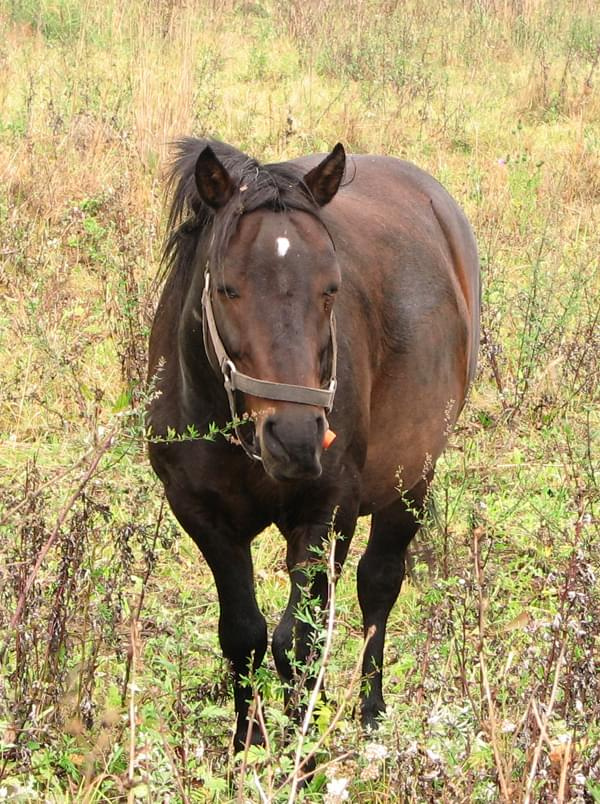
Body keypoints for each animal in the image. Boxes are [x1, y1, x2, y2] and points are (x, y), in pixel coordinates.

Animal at [148, 137, 480, 748]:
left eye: (331, 288)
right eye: (227, 288)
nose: (298, 440)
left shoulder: (330, 510)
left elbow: (299, 640)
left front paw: (302, 748)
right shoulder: (202, 515)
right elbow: (244, 634)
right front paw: (247, 747)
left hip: (412, 479)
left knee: (379, 584)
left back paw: (371, 714)